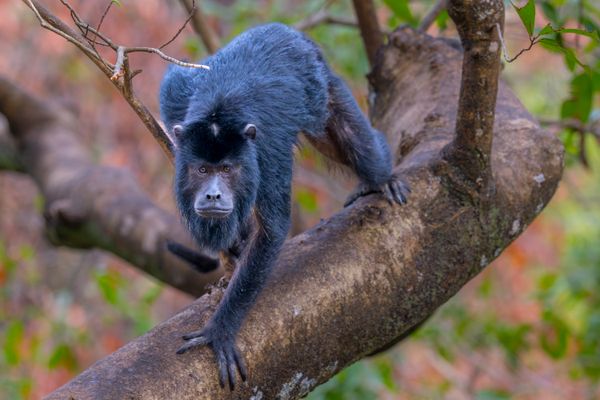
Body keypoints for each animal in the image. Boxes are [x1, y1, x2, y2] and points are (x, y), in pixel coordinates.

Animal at [158, 22, 408, 390]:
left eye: (227, 169)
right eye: (202, 170)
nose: (213, 195)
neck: (219, 113)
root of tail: (287, 33)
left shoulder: (265, 150)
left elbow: (272, 230)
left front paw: (220, 330)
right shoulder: (177, 98)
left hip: (322, 85)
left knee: (358, 146)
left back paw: (382, 175)